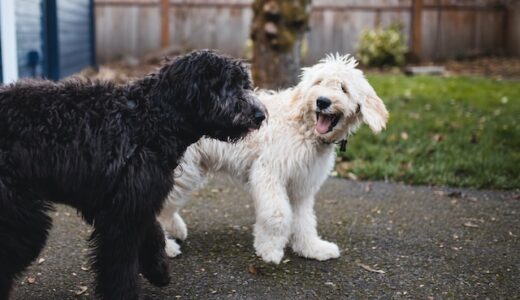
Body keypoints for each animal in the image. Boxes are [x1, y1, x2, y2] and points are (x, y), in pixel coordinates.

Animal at [0, 50, 266, 298]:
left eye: (244, 84)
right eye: (227, 85)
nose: (260, 115)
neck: (149, 120)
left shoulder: (138, 200)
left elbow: (153, 232)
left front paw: (158, 270)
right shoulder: (122, 214)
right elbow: (120, 265)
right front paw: (126, 292)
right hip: (22, 217)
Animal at [156, 55, 388, 264]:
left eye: (343, 88)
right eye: (318, 82)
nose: (322, 101)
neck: (304, 128)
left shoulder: (302, 185)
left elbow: (304, 219)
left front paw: (311, 248)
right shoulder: (268, 173)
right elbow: (278, 214)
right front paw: (269, 250)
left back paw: (174, 230)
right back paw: (166, 247)